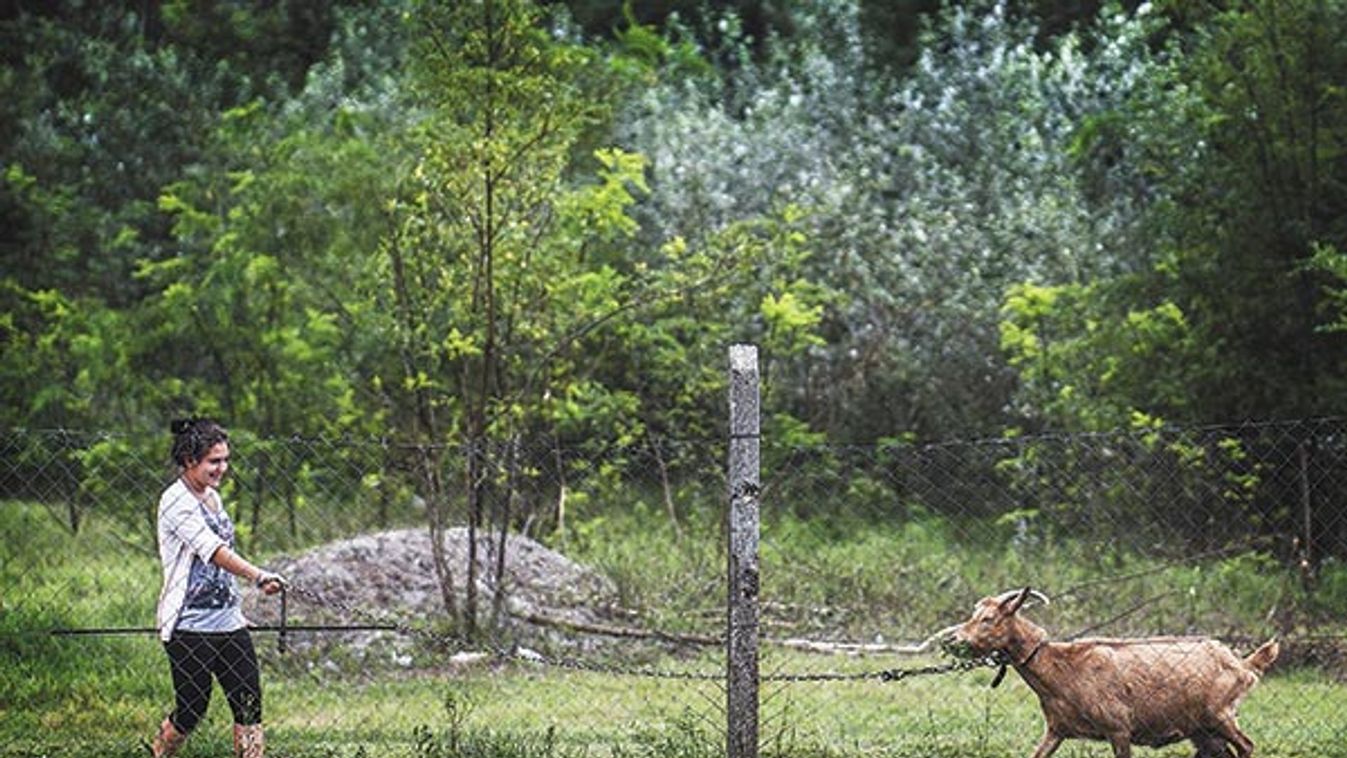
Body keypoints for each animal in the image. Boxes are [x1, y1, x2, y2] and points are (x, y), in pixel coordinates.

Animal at [953, 587, 1276, 758]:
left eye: (988, 619)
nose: (955, 639)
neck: (1062, 672)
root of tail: (1243, 665)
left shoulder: (1118, 727)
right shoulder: (1057, 728)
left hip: (1219, 713)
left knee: (1247, 745)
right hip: (1201, 728)